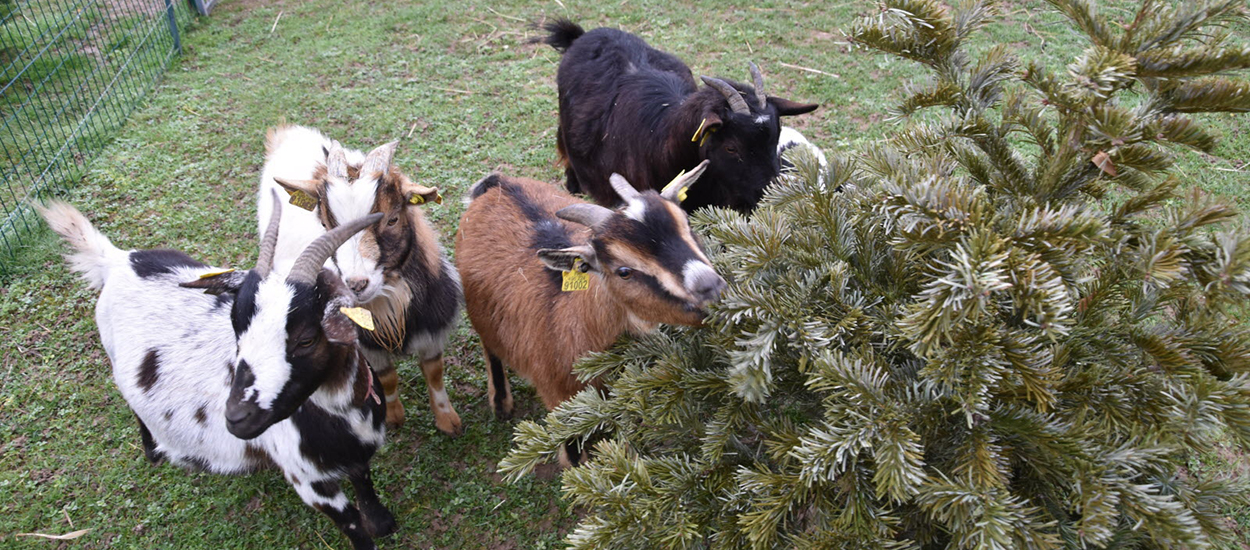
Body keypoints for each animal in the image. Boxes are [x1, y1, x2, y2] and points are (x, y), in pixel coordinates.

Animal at [37, 195, 390, 550]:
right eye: (237, 329)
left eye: (306, 338)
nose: (236, 417)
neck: (344, 413)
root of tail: (119, 259)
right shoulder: (309, 482)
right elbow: (352, 524)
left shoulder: (359, 453)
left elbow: (365, 484)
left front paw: (383, 522)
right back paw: (153, 452)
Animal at [258, 124, 465, 435]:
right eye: (325, 224)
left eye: (392, 219)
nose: (356, 284)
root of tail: (289, 134)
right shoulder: (366, 344)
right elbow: (387, 376)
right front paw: (393, 417)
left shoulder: (431, 329)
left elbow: (434, 373)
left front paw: (447, 420)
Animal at [455, 162, 730, 460]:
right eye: (623, 271)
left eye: (688, 227)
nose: (713, 289)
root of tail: (498, 184)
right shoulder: (561, 402)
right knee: (490, 346)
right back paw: (501, 403)